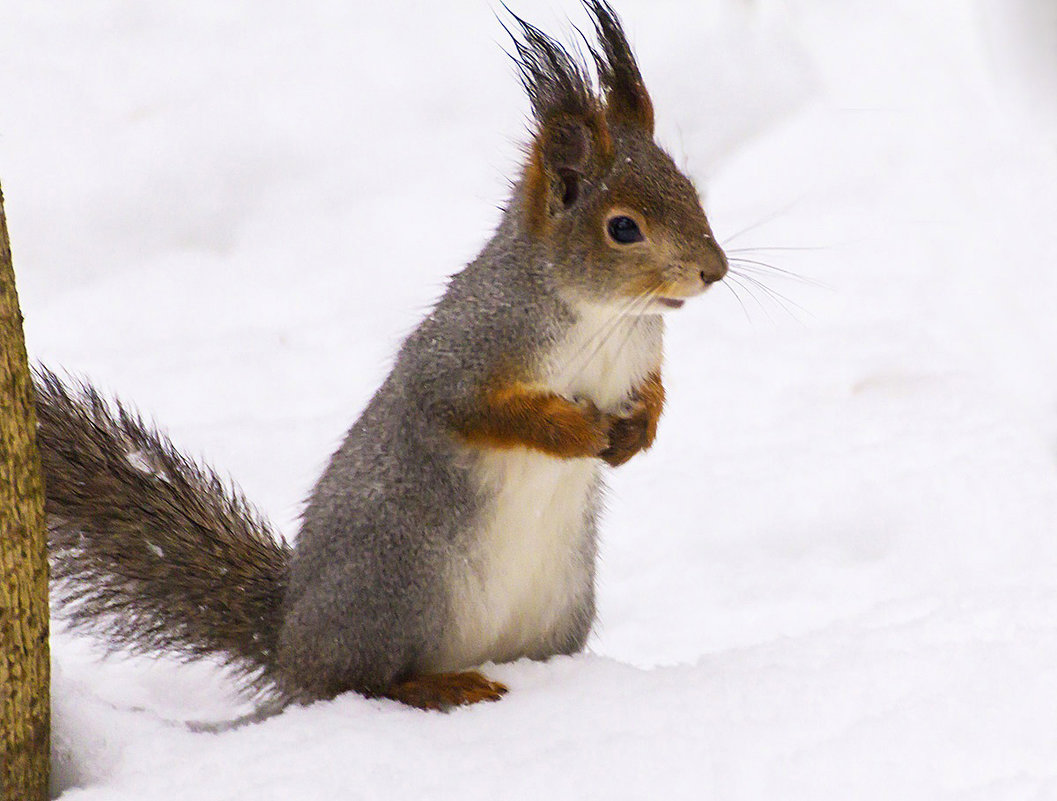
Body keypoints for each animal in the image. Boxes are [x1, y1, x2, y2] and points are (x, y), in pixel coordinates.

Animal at [35, 0, 727, 714]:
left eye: (689, 189)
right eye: (623, 228)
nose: (715, 270)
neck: (606, 318)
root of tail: (292, 645)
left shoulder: (639, 359)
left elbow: (651, 393)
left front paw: (636, 433)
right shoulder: (464, 352)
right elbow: (474, 409)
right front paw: (577, 430)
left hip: (561, 601)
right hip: (400, 590)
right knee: (365, 682)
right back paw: (441, 683)